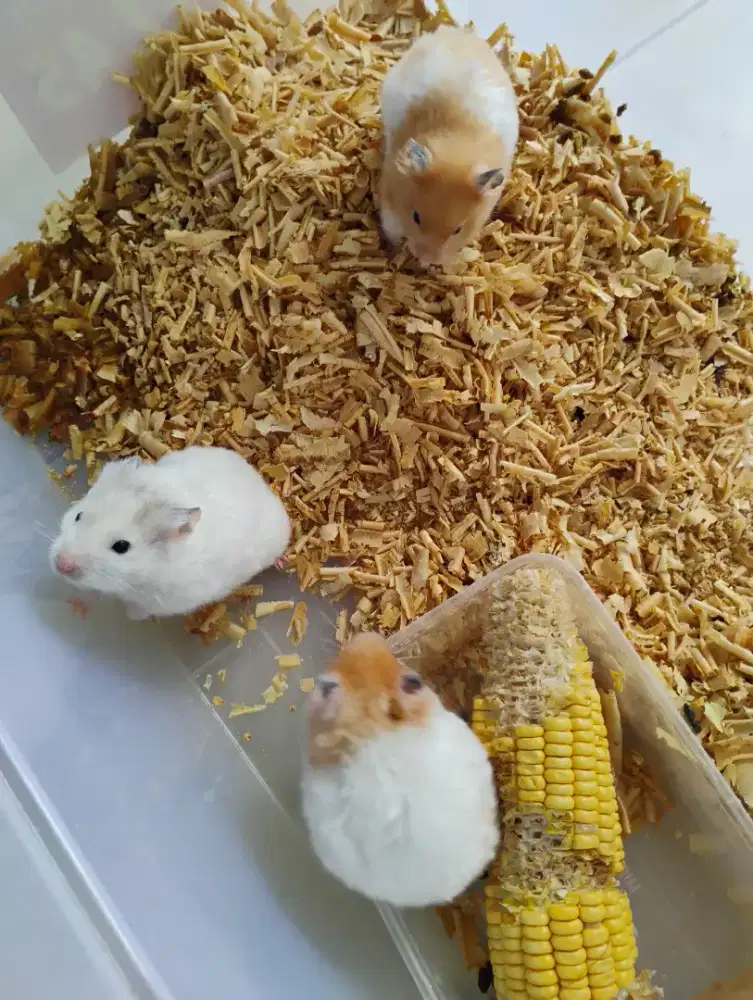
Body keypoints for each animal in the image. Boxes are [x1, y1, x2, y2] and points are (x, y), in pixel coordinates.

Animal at [50, 446, 290, 620]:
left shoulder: (164, 602)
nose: (61, 564)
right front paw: (75, 606)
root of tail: (259, 480)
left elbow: (138, 610)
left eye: (121, 546)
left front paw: (129, 615)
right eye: (78, 515)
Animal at [379, 25, 519, 268]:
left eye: (457, 230)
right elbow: (391, 225)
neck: (457, 150)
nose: (425, 259)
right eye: (416, 217)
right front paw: (394, 247)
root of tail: (456, 31)